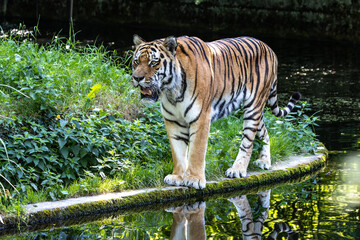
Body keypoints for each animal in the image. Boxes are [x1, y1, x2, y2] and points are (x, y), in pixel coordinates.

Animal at [131, 35, 300, 189]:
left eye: (154, 62)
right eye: (136, 61)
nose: (137, 78)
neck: (172, 91)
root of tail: (269, 49)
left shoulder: (201, 117)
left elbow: (196, 151)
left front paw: (194, 179)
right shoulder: (173, 121)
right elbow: (177, 152)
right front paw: (177, 176)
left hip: (253, 106)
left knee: (248, 142)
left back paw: (237, 169)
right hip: (257, 111)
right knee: (265, 132)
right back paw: (264, 161)